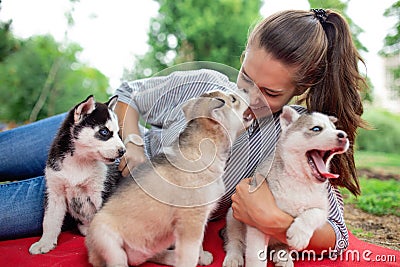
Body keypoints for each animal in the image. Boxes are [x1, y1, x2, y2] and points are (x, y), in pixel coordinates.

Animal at [29, 94, 126, 255]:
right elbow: (49, 221)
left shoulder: (102, 190)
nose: (123, 151)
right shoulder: (55, 192)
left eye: (118, 133)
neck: (79, 162)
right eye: (104, 132)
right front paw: (45, 242)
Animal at [85, 90, 253, 267]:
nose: (246, 90)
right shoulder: (191, 220)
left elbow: (198, 245)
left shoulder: (197, 222)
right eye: (233, 99)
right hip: (106, 238)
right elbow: (190, 254)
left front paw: (202, 257)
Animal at [223, 105, 348, 266]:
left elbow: (313, 214)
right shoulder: (254, 221)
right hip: (232, 218)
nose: (343, 136)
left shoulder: (322, 209)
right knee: (234, 241)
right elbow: (256, 255)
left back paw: (283, 254)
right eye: (316, 129)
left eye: (335, 128)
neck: (299, 181)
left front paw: (299, 234)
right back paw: (233, 256)